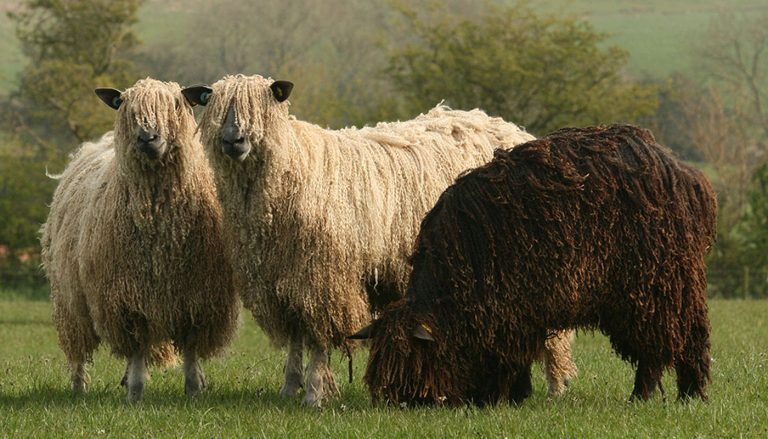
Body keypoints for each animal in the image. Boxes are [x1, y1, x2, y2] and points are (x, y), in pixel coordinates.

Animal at [42, 78, 240, 402]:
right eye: (126, 107)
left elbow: (190, 348)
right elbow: (135, 347)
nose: (148, 137)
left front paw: (194, 388)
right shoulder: (125, 297)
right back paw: (79, 386)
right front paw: (135, 393)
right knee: (79, 347)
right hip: (69, 297)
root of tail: (98, 144)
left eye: (176, 104)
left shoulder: (198, 296)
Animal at [182, 74, 576, 408]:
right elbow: (296, 337)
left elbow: (319, 339)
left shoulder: (325, 277)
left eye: (262, 108)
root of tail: (512, 129)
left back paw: (556, 387)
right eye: (214, 107)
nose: (233, 141)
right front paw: (289, 388)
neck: (296, 170)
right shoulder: (284, 279)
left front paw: (314, 393)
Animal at [352, 124, 716, 406]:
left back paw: (672, 394)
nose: (406, 402)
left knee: (676, 342)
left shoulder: (513, 309)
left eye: (412, 361)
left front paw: (503, 395)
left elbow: (510, 357)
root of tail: (686, 175)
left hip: (659, 285)